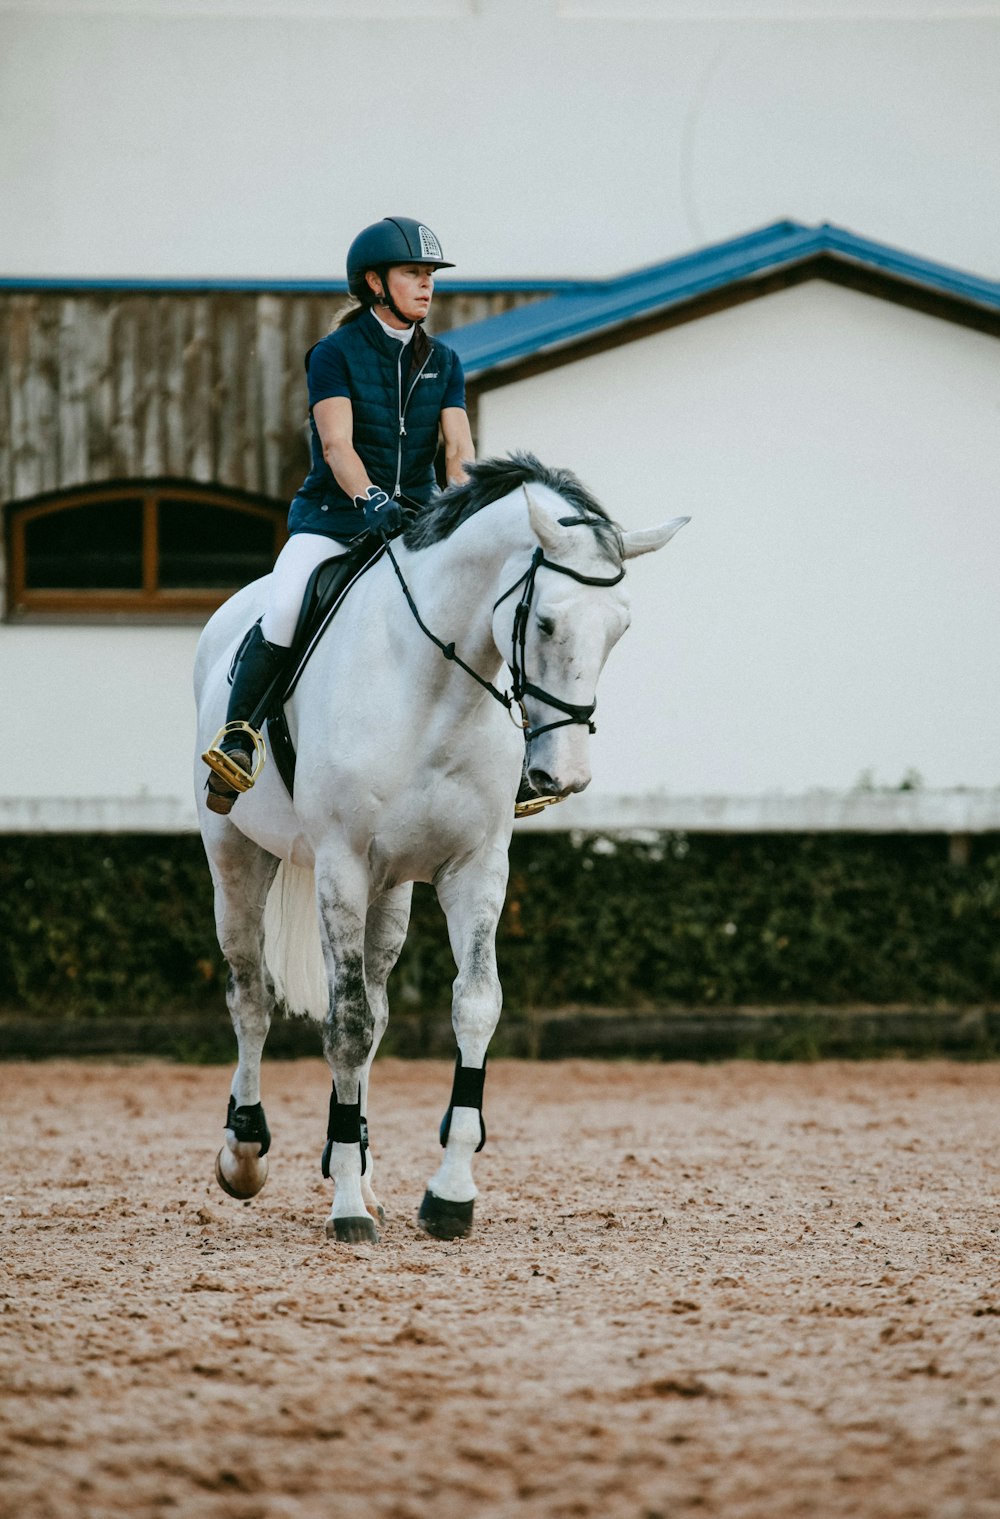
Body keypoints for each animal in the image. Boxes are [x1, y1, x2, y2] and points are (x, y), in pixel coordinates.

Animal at [193, 455, 686, 1239]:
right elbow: (345, 1025)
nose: (567, 776)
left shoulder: (475, 869)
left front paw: (448, 1193)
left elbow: (472, 1006)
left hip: (390, 889)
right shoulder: (340, 864)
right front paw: (344, 1209)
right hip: (236, 856)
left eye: (620, 629)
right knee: (252, 996)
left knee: (374, 1003)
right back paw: (246, 1152)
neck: (435, 686)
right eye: (545, 620)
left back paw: (360, 1167)